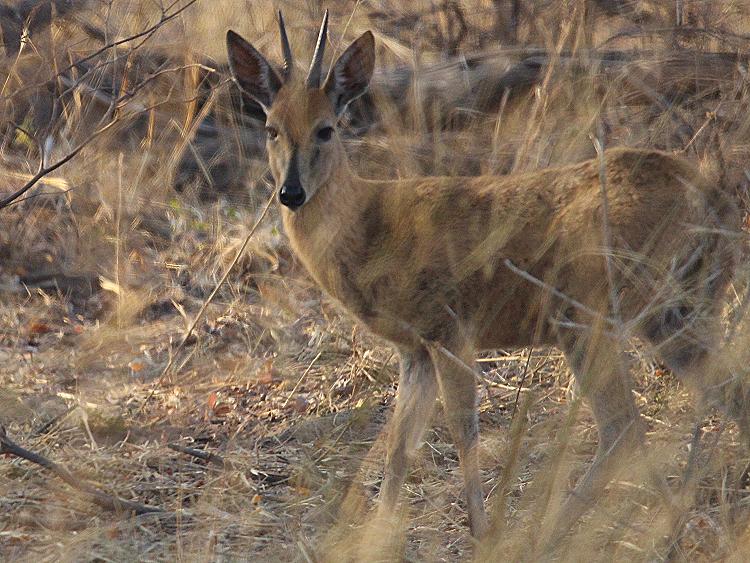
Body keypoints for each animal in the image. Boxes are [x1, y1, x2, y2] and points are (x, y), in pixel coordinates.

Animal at [228, 11, 750, 544]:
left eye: (327, 129)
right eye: (271, 128)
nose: (291, 193)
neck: (371, 224)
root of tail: (714, 203)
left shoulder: (449, 327)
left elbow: (463, 430)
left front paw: (481, 530)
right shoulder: (415, 348)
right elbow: (399, 443)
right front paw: (376, 534)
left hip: (589, 312)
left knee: (624, 427)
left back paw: (544, 534)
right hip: (675, 313)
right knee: (727, 395)